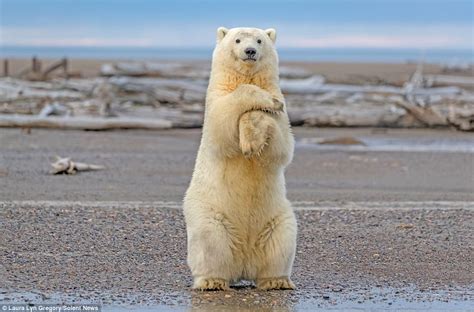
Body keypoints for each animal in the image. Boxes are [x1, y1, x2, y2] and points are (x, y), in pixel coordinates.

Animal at [182, 26, 296, 290]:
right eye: (237, 39)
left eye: (259, 40)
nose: (250, 51)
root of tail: (245, 263)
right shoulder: (216, 101)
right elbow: (223, 122)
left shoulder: (282, 117)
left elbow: (282, 146)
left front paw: (253, 133)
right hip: (209, 213)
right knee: (210, 242)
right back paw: (212, 280)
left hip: (277, 218)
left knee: (281, 242)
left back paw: (276, 281)